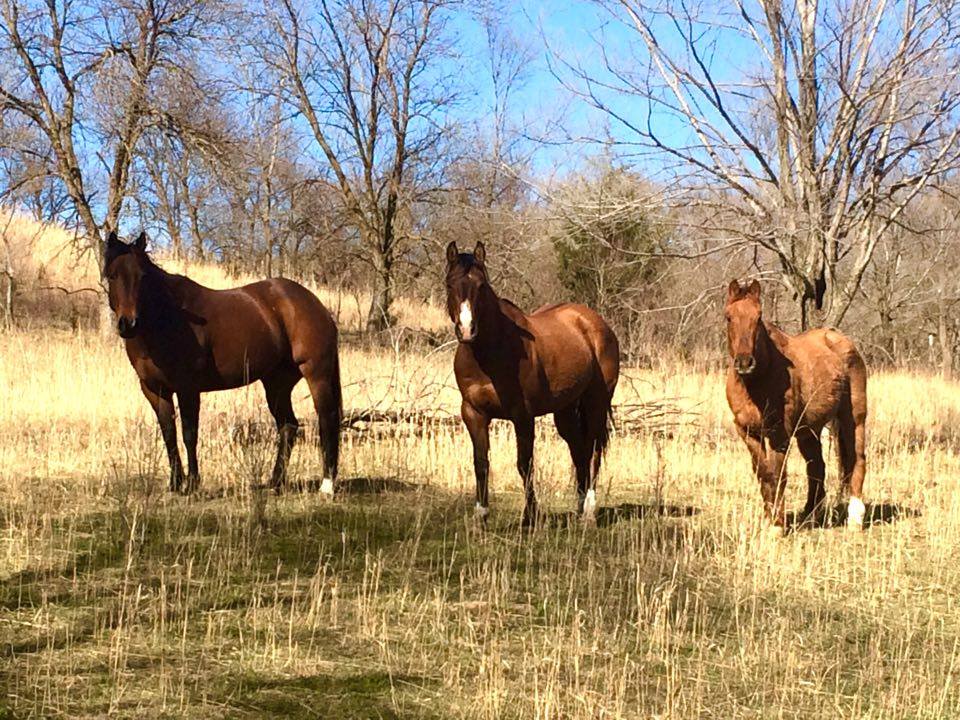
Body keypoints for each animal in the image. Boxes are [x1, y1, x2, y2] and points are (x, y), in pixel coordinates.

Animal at [105, 233, 342, 492]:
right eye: (112, 275)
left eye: (143, 276)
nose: (129, 324)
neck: (167, 319)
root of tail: (315, 304)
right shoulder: (154, 390)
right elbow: (168, 434)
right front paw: (175, 483)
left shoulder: (188, 388)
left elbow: (189, 433)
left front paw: (192, 484)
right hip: (277, 384)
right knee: (288, 426)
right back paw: (275, 482)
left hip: (316, 375)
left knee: (326, 419)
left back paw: (326, 485)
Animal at [444, 243, 624, 528]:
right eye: (449, 284)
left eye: (481, 285)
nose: (467, 330)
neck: (488, 353)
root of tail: (594, 322)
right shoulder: (473, 413)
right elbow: (481, 463)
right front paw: (481, 516)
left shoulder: (523, 416)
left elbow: (524, 464)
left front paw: (530, 516)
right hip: (565, 410)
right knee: (578, 450)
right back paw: (579, 507)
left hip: (596, 402)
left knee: (594, 450)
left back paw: (589, 511)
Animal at [724, 278, 868, 532]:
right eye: (728, 317)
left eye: (758, 317)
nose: (744, 362)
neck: (758, 380)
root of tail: (843, 342)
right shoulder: (748, 432)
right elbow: (763, 475)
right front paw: (769, 520)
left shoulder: (779, 436)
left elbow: (777, 475)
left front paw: (777, 526)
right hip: (809, 430)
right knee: (817, 467)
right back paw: (810, 515)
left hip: (854, 419)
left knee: (857, 459)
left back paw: (855, 518)